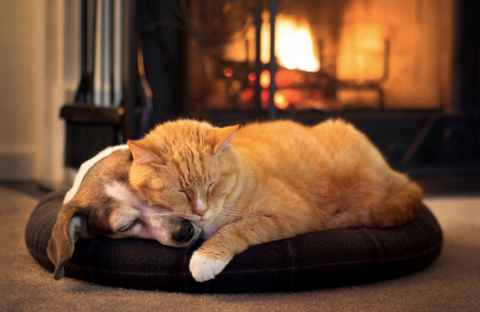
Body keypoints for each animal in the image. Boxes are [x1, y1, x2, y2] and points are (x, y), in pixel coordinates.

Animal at [127, 118, 424, 282]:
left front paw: (205, 258)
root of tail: (390, 170)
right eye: (180, 191)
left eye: (212, 184)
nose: (200, 211)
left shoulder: (292, 214)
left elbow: (237, 228)